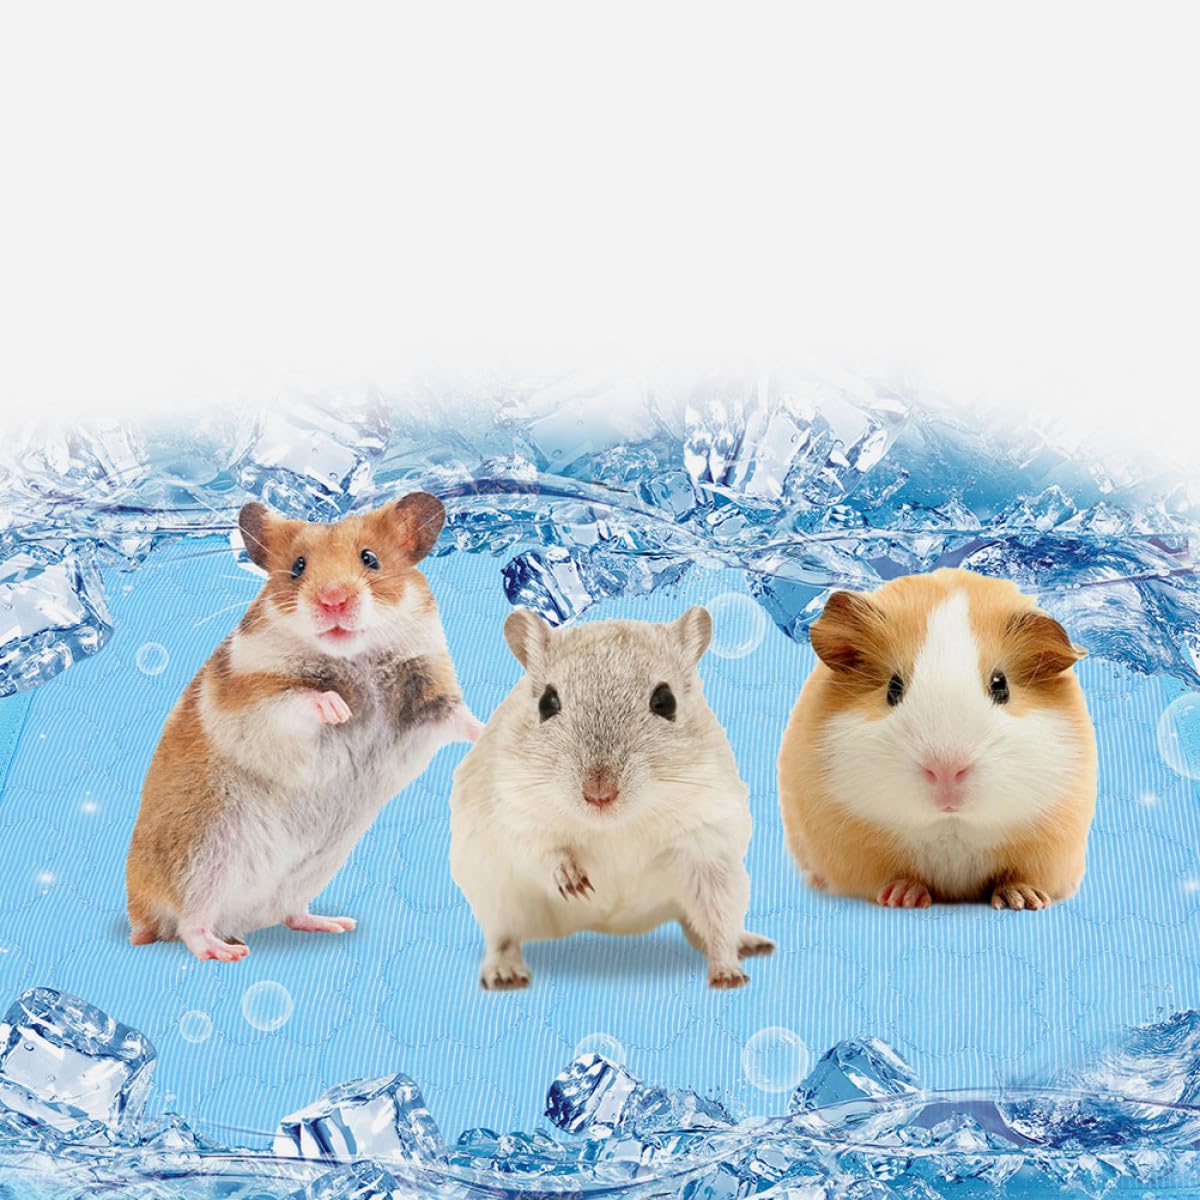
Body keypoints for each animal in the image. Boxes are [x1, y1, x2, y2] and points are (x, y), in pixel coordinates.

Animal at [126, 492, 481, 961]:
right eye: (297, 566)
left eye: (370, 559)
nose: (333, 600)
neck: (355, 657)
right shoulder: (252, 699)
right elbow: (297, 699)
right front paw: (339, 709)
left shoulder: (429, 695)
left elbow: (462, 719)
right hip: (203, 857)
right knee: (190, 924)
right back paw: (226, 951)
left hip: (310, 870)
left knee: (290, 913)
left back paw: (334, 924)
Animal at [449, 606, 773, 990]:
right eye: (546, 703)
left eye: (665, 702)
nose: (599, 794)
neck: (614, 825)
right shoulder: (514, 813)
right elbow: (543, 851)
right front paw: (573, 881)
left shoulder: (708, 842)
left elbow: (717, 921)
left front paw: (728, 975)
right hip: (495, 896)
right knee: (503, 938)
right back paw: (505, 974)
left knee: (705, 926)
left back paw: (749, 944)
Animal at [778, 567, 1097, 910]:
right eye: (893, 688)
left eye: (1001, 686)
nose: (946, 770)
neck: (951, 826)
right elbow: (894, 877)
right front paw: (903, 897)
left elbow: (1017, 876)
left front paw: (1025, 900)